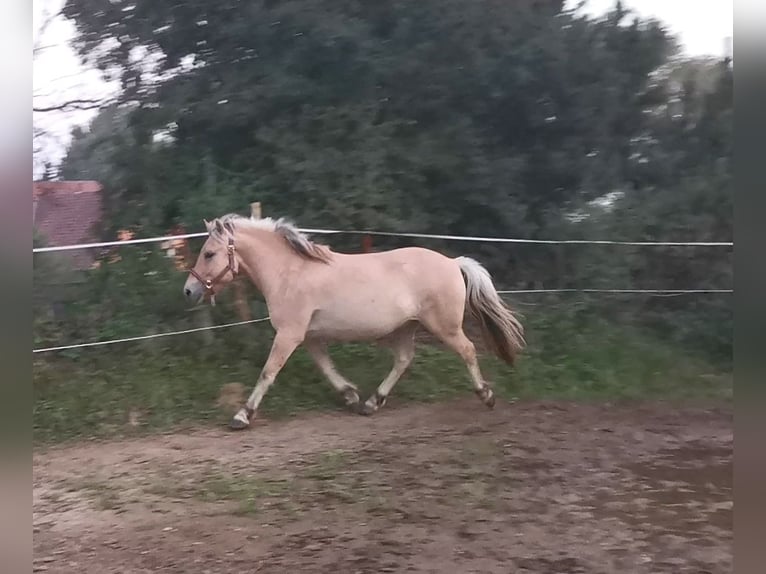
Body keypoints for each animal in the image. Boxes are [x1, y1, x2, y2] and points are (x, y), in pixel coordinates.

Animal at [183, 214, 524, 430]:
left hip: (444, 326)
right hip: (406, 327)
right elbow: (325, 366)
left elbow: (268, 372)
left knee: (467, 350)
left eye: (209, 253)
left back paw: (486, 396)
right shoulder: (309, 336)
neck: (290, 273)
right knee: (404, 359)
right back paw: (372, 402)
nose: (189, 290)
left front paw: (242, 416)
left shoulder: (290, 334)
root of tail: (453, 263)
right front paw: (350, 395)